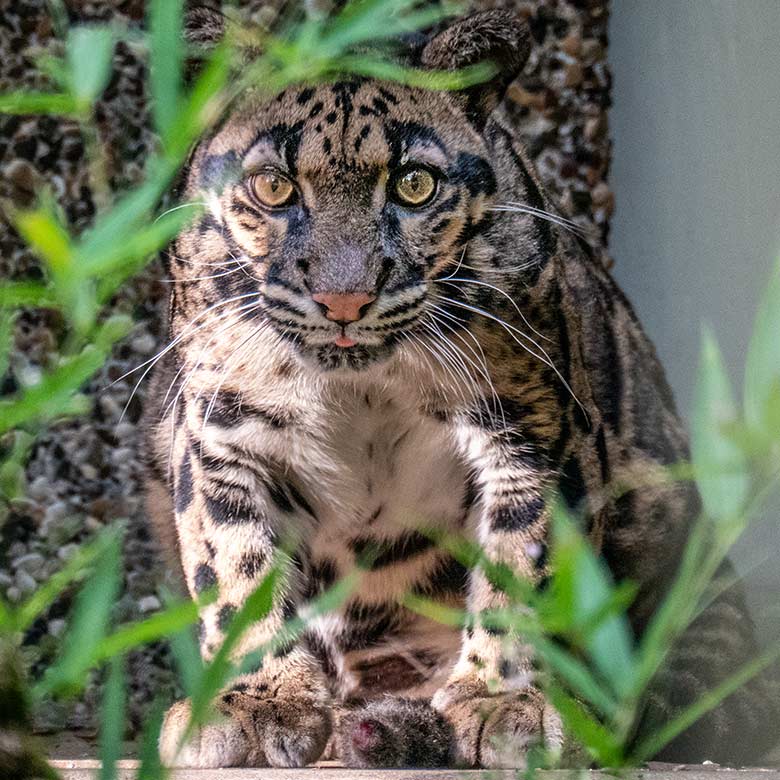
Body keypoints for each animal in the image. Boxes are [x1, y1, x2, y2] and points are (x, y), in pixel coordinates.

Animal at [142, 9, 780, 772]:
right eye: (273, 187)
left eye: (414, 185)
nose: (344, 299)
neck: (362, 390)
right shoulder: (220, 434)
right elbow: (236, 568)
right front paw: (254, 700)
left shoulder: (536, 431)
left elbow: (524, 567)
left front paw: (503, 702)